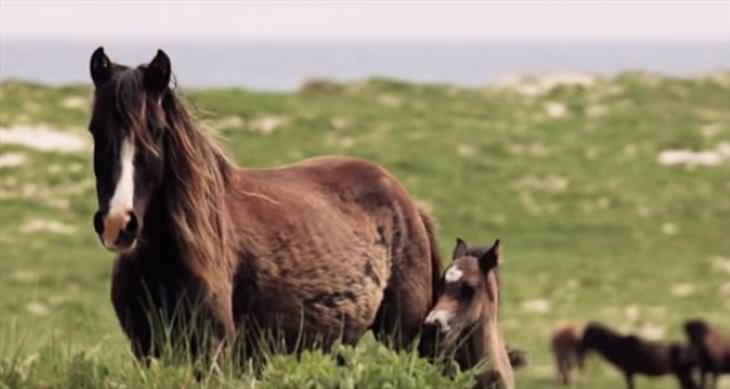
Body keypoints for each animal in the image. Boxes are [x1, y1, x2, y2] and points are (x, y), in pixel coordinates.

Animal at [86, 47, 438, 360]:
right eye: (94, 130)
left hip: (399, 337)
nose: (118, 224)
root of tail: (408, 202)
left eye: (156, 130)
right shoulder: (146, 351)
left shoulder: (214, 352)